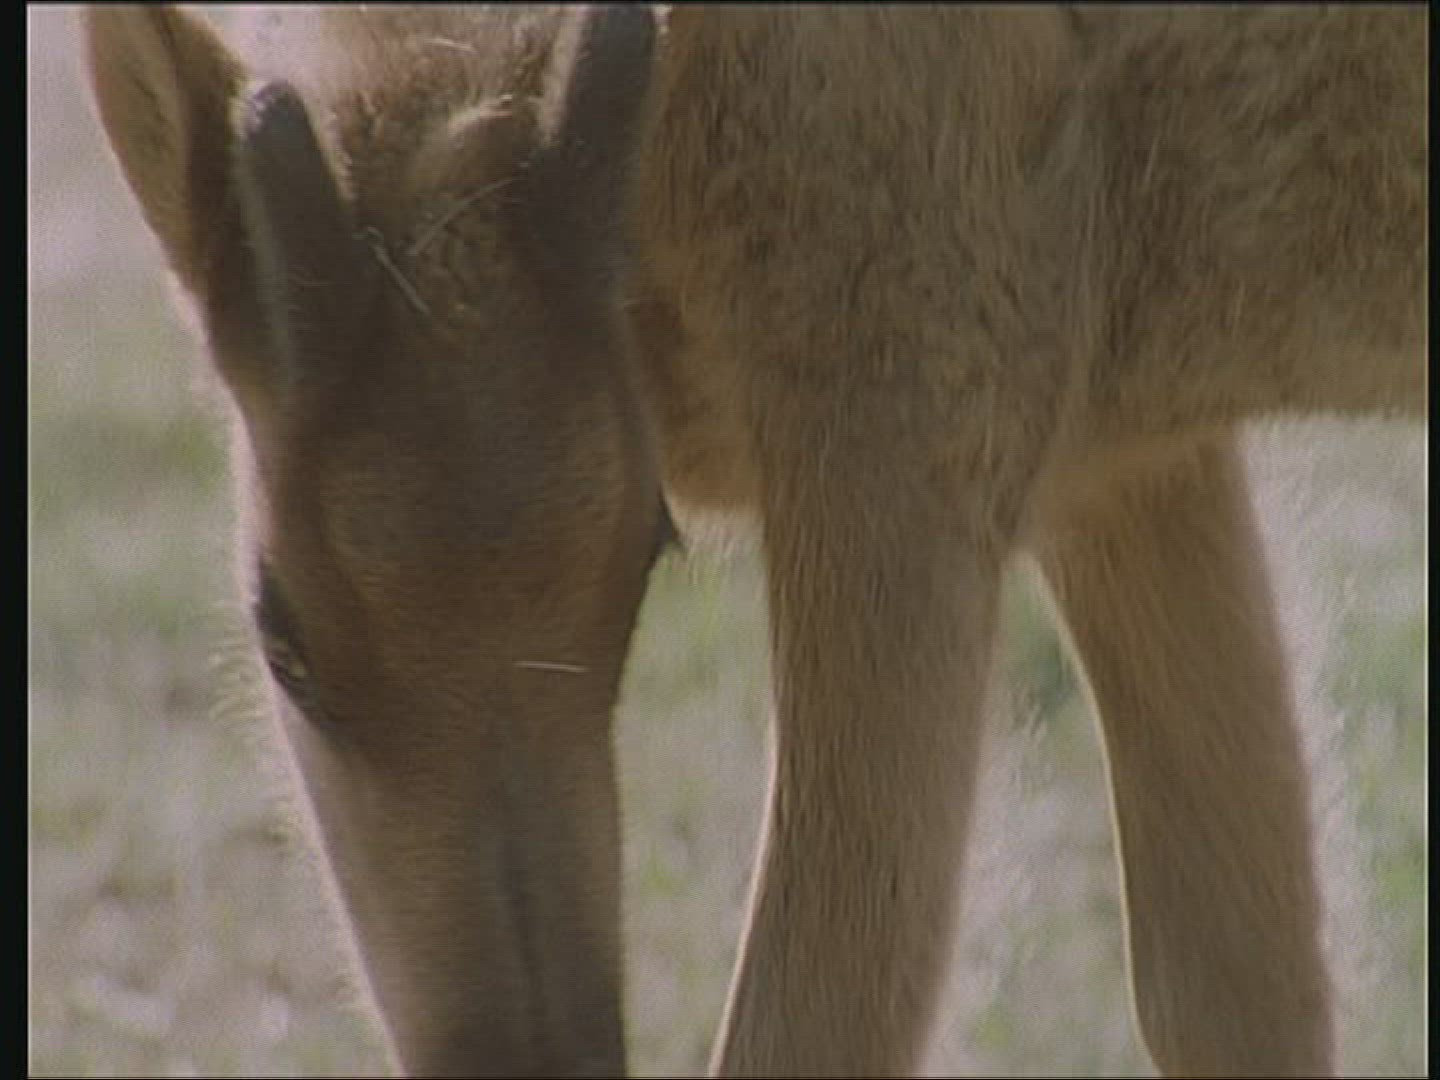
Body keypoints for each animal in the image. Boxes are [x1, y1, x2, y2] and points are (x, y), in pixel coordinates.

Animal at [85, 4, 1424, 1077]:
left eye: (648, 560)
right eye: (283, 642)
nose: (544, 1059)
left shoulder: (907, 428)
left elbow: (812, 1023)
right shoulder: (1123, 463)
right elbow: (1237, 983)